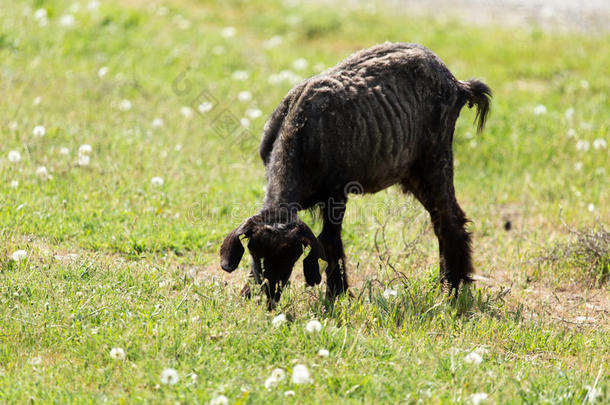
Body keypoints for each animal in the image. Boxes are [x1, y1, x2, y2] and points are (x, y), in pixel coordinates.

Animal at [218, 41, 490, 306]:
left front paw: (336, 295)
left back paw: (451, 288)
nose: (270, 296)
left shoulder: (336, 194)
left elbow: (330, 241)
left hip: (436, 160)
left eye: (293, 255)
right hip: (412, 175)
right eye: (254, 252)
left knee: (449, 220)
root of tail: (457, 84)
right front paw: (246, 294)